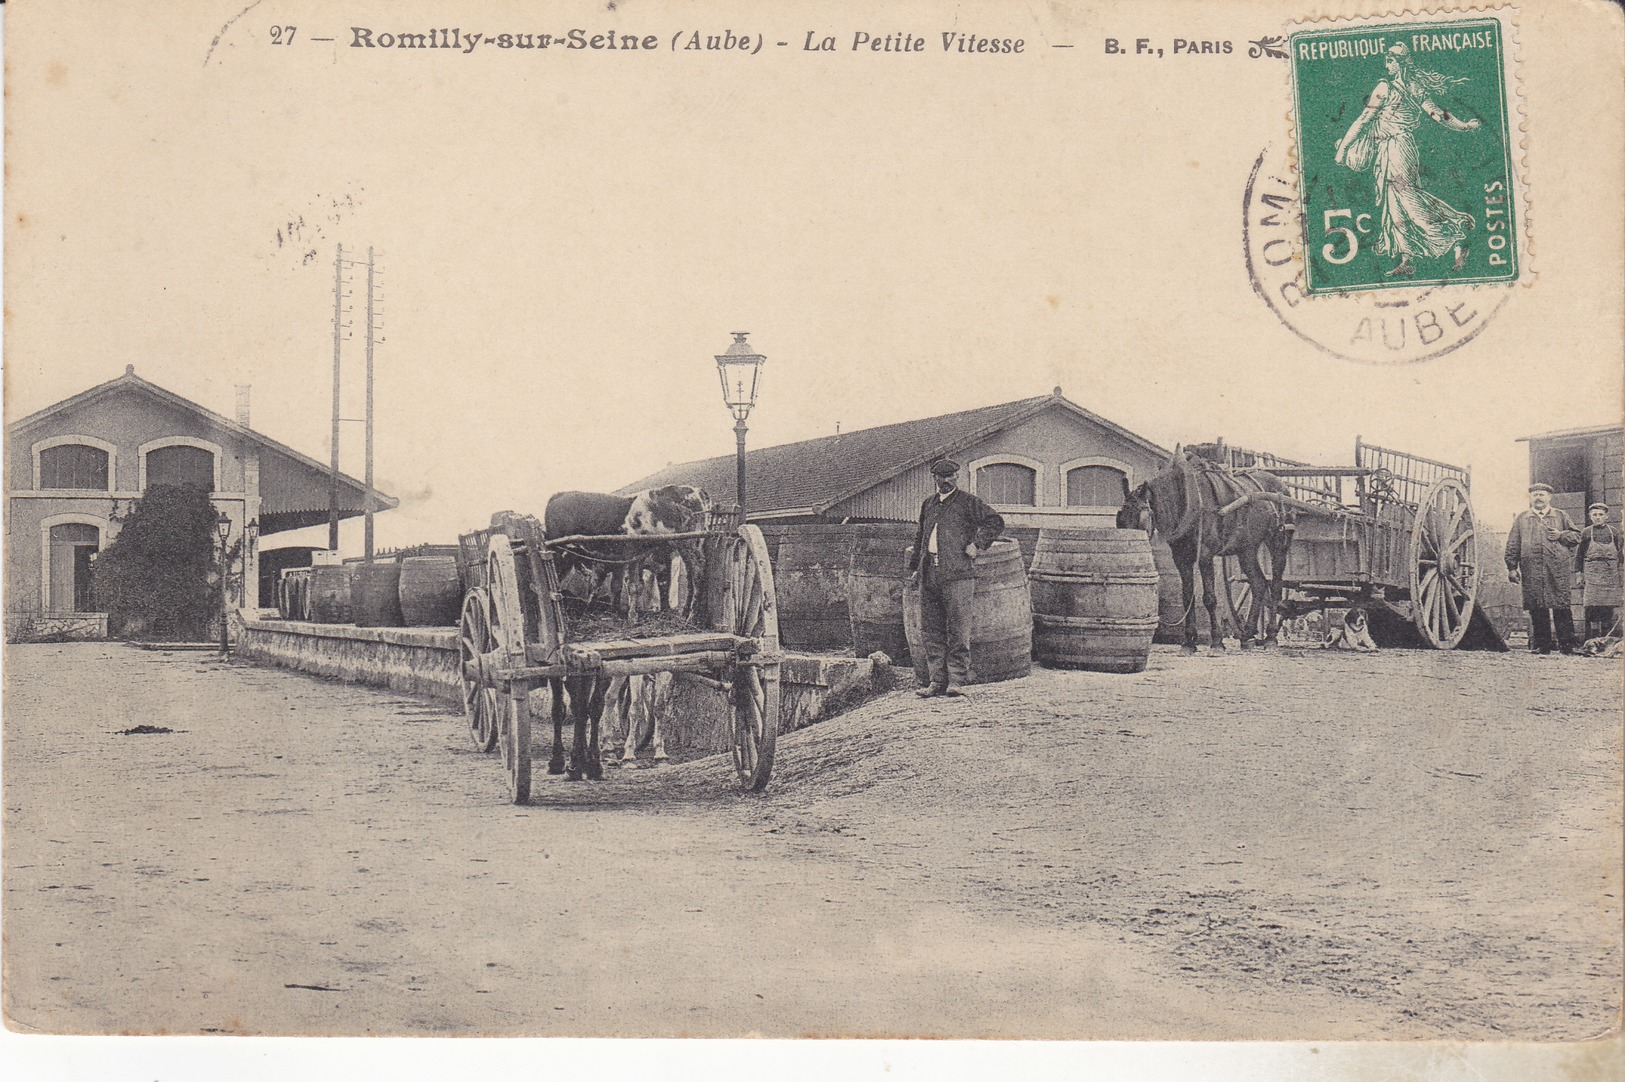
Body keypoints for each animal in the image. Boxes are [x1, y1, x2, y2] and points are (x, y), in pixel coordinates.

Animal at [1131, 441, 1293, 649]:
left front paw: (1216, 641)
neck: (1189, 500)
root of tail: (1282, 485)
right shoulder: (1181, 559)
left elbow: (1209, 598)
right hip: (1247, 549)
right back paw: (1247, 634)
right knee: (1258, 583)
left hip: (1278, 543)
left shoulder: (1205, 556)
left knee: (1276, 586)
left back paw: (1271, 636)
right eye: (1120, 519)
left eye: (1141, 519)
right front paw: (1188, 642)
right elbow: (1187, 597)